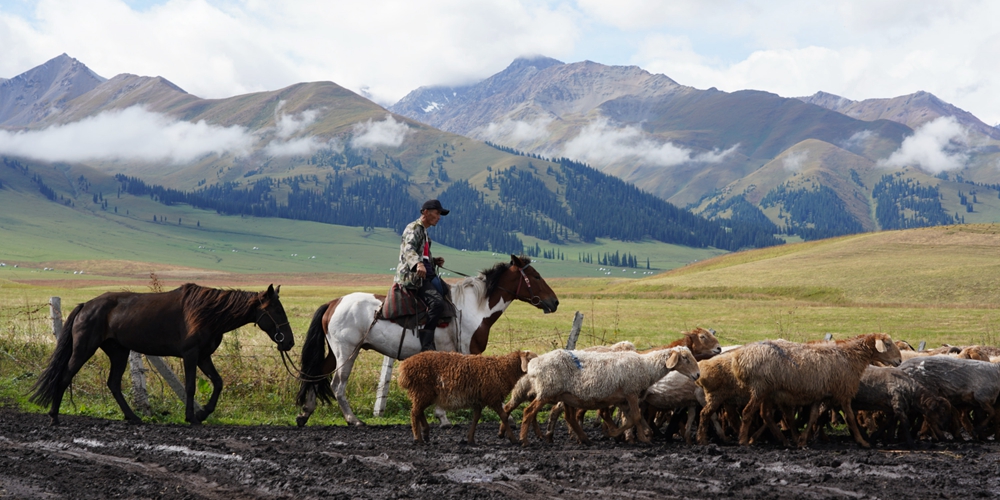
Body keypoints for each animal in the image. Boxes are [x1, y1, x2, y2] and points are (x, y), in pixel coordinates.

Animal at [28, 284, 292, 424]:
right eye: (277, 311)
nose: (289, 342)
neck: (208, 313)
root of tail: (86, 305)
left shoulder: (204, 356)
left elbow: (218, 383)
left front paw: (203, 413)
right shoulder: (191, 355)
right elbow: (190, 387)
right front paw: (191, 416)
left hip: (119, 353)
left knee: (113, 383)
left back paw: (132, 417)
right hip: (84, 349)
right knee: (65, 377)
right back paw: (54, 416)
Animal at [296, 254, 564, 426]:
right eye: (536, 276)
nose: (554, 302)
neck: (474, 308)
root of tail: (334, 302)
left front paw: (442, 416)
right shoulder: (466, 353)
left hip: (336, 353)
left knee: (315, 374)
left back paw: (305, 413)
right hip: (347, 352)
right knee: (337, 385)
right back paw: (353, 420)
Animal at [400, 350, 540, 444]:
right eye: (532, 359)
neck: (502, 369)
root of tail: (404, 368)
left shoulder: (479, 400)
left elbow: (476, 418)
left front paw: (470, 439)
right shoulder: (493, 397)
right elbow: (504, 416)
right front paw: (512, 438)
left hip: (423, 393)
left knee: (418, 411)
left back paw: (426, 433)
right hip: (422, 391)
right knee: (414, 412)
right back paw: (418, 438)